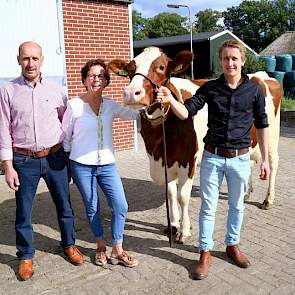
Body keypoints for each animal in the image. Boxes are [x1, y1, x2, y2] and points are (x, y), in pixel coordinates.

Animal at [108, 47, 282, 244]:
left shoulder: (188, 160)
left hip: (270, 138)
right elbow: (170, 193)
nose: (131, 93)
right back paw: (246, 193)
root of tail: (261, 75)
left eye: (161, 67)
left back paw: (268, 199)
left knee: (273, 164)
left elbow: (182, 196)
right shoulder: (165, 161)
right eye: (131, 68)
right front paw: (173, 225)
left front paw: (184, 230)